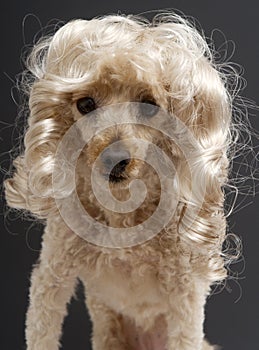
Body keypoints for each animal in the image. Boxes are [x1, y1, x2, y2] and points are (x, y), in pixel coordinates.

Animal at [5, 13, 236, 350]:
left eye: (149, 104)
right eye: (85, 104)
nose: (114, 159)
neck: (122, 207)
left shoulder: (184, 294)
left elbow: (185, 332)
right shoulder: (52, 275)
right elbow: (41, 329)